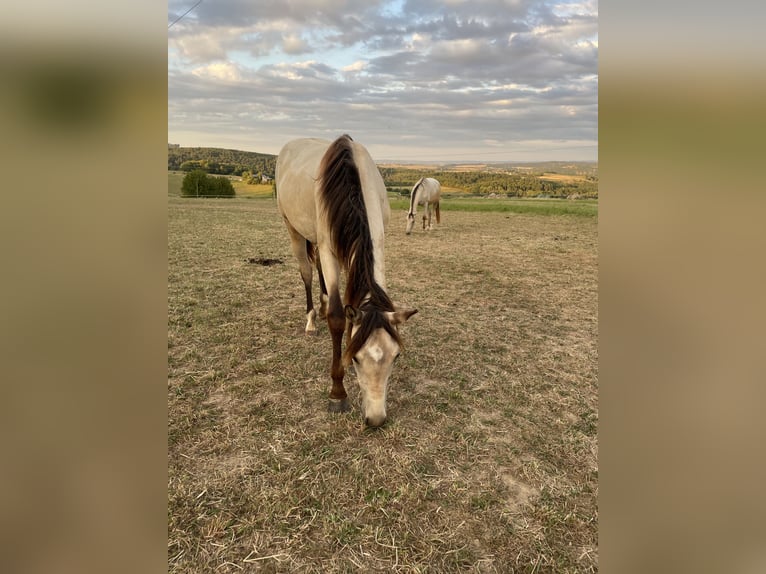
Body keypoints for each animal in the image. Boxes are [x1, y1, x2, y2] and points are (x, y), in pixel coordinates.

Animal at [275, 134, 417, 428]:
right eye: (357, 360)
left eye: (396, 356)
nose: (376, 419)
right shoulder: (329, 248)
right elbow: (337, 317)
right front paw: (337, 394)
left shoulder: (379, 240)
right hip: (293, 229)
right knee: (307, 271)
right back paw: (311, 319)